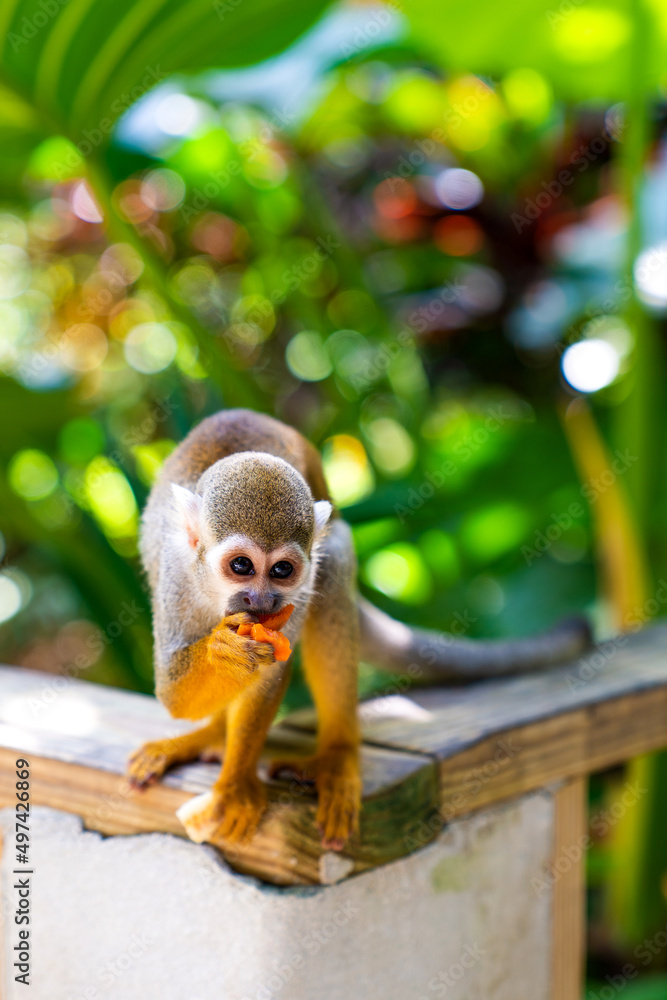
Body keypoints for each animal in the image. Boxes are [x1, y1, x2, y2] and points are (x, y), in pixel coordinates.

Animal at [126, 409, 591, 851]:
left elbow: (270, 672)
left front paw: (234, 788)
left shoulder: (297, 592)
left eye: (281, 571)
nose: (260, 602)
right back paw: (211, 734)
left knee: (335, 564)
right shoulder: (177, 575)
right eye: (241, 566)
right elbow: (172, 691)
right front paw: (223, 652)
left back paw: (336, 755)